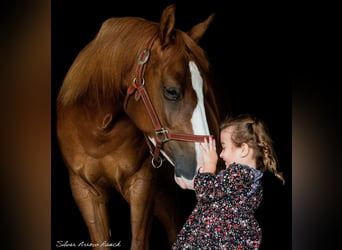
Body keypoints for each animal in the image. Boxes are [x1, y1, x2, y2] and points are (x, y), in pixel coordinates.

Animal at [57, 4, 219, 249]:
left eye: (204, 90)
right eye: (171, 91)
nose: (204, 165)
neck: (99, 132)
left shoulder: (142, 187)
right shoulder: (85, 191)